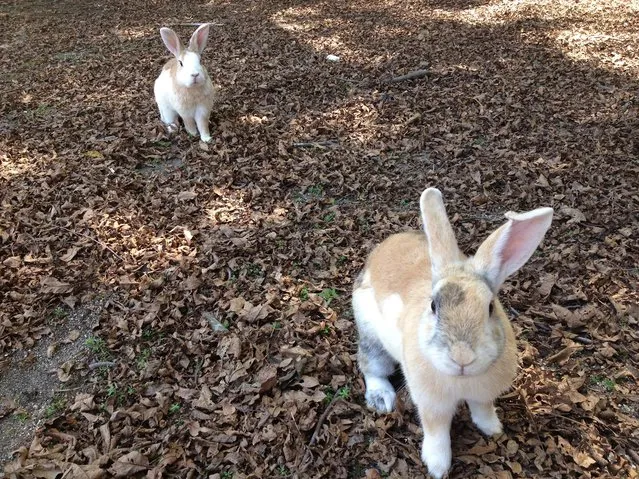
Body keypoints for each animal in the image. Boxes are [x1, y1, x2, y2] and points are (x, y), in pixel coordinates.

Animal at [352, 188, 552, 479]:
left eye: (490, 307)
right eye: (434, 306)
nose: (462, 358)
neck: (462, 381)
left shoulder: (484, 395)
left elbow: (483, 410)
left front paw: (493, 429)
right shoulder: (432, 405)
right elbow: (436, 432)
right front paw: (437, 466)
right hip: (371, 338)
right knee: (371, 368)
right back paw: (382, 399)